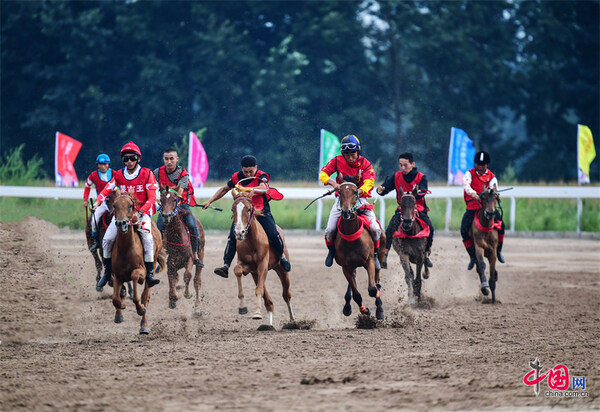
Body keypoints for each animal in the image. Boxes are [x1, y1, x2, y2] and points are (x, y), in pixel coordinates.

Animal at [110, 192, 165, 334]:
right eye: (114, 206)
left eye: (130, 205)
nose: (121, 223)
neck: (126, 249)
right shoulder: (117, 276)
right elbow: (116, 299)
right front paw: (121, 307)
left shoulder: (142, 271)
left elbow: (135, 280)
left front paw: (140, 309)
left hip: (152, 267)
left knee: (146, 296)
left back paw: (144, 325)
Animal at [231, 193, 294, 328]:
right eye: (232, 209)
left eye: (248, 209)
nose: (239, 232)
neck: (251, 240)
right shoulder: (247, 266)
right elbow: (237, 270)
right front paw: (242, 307)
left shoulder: (263, 264)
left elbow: (259, 289)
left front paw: (257, 313)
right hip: (256, 274)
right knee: (268, 300)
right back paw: (269, 324)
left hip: (282, 270)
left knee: (286, 295)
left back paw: (293, 321)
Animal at [332, 182, 384, 320]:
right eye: (340, 192)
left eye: (355, 193)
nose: (346, 212)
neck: (352, 238)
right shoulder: (345, 266)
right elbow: (356, 294)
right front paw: (365, 310)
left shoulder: (369, 260)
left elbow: (373, 289)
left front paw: (379, 308)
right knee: (353, 280)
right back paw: (347, 306)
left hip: (380, 255)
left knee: (377, 279)